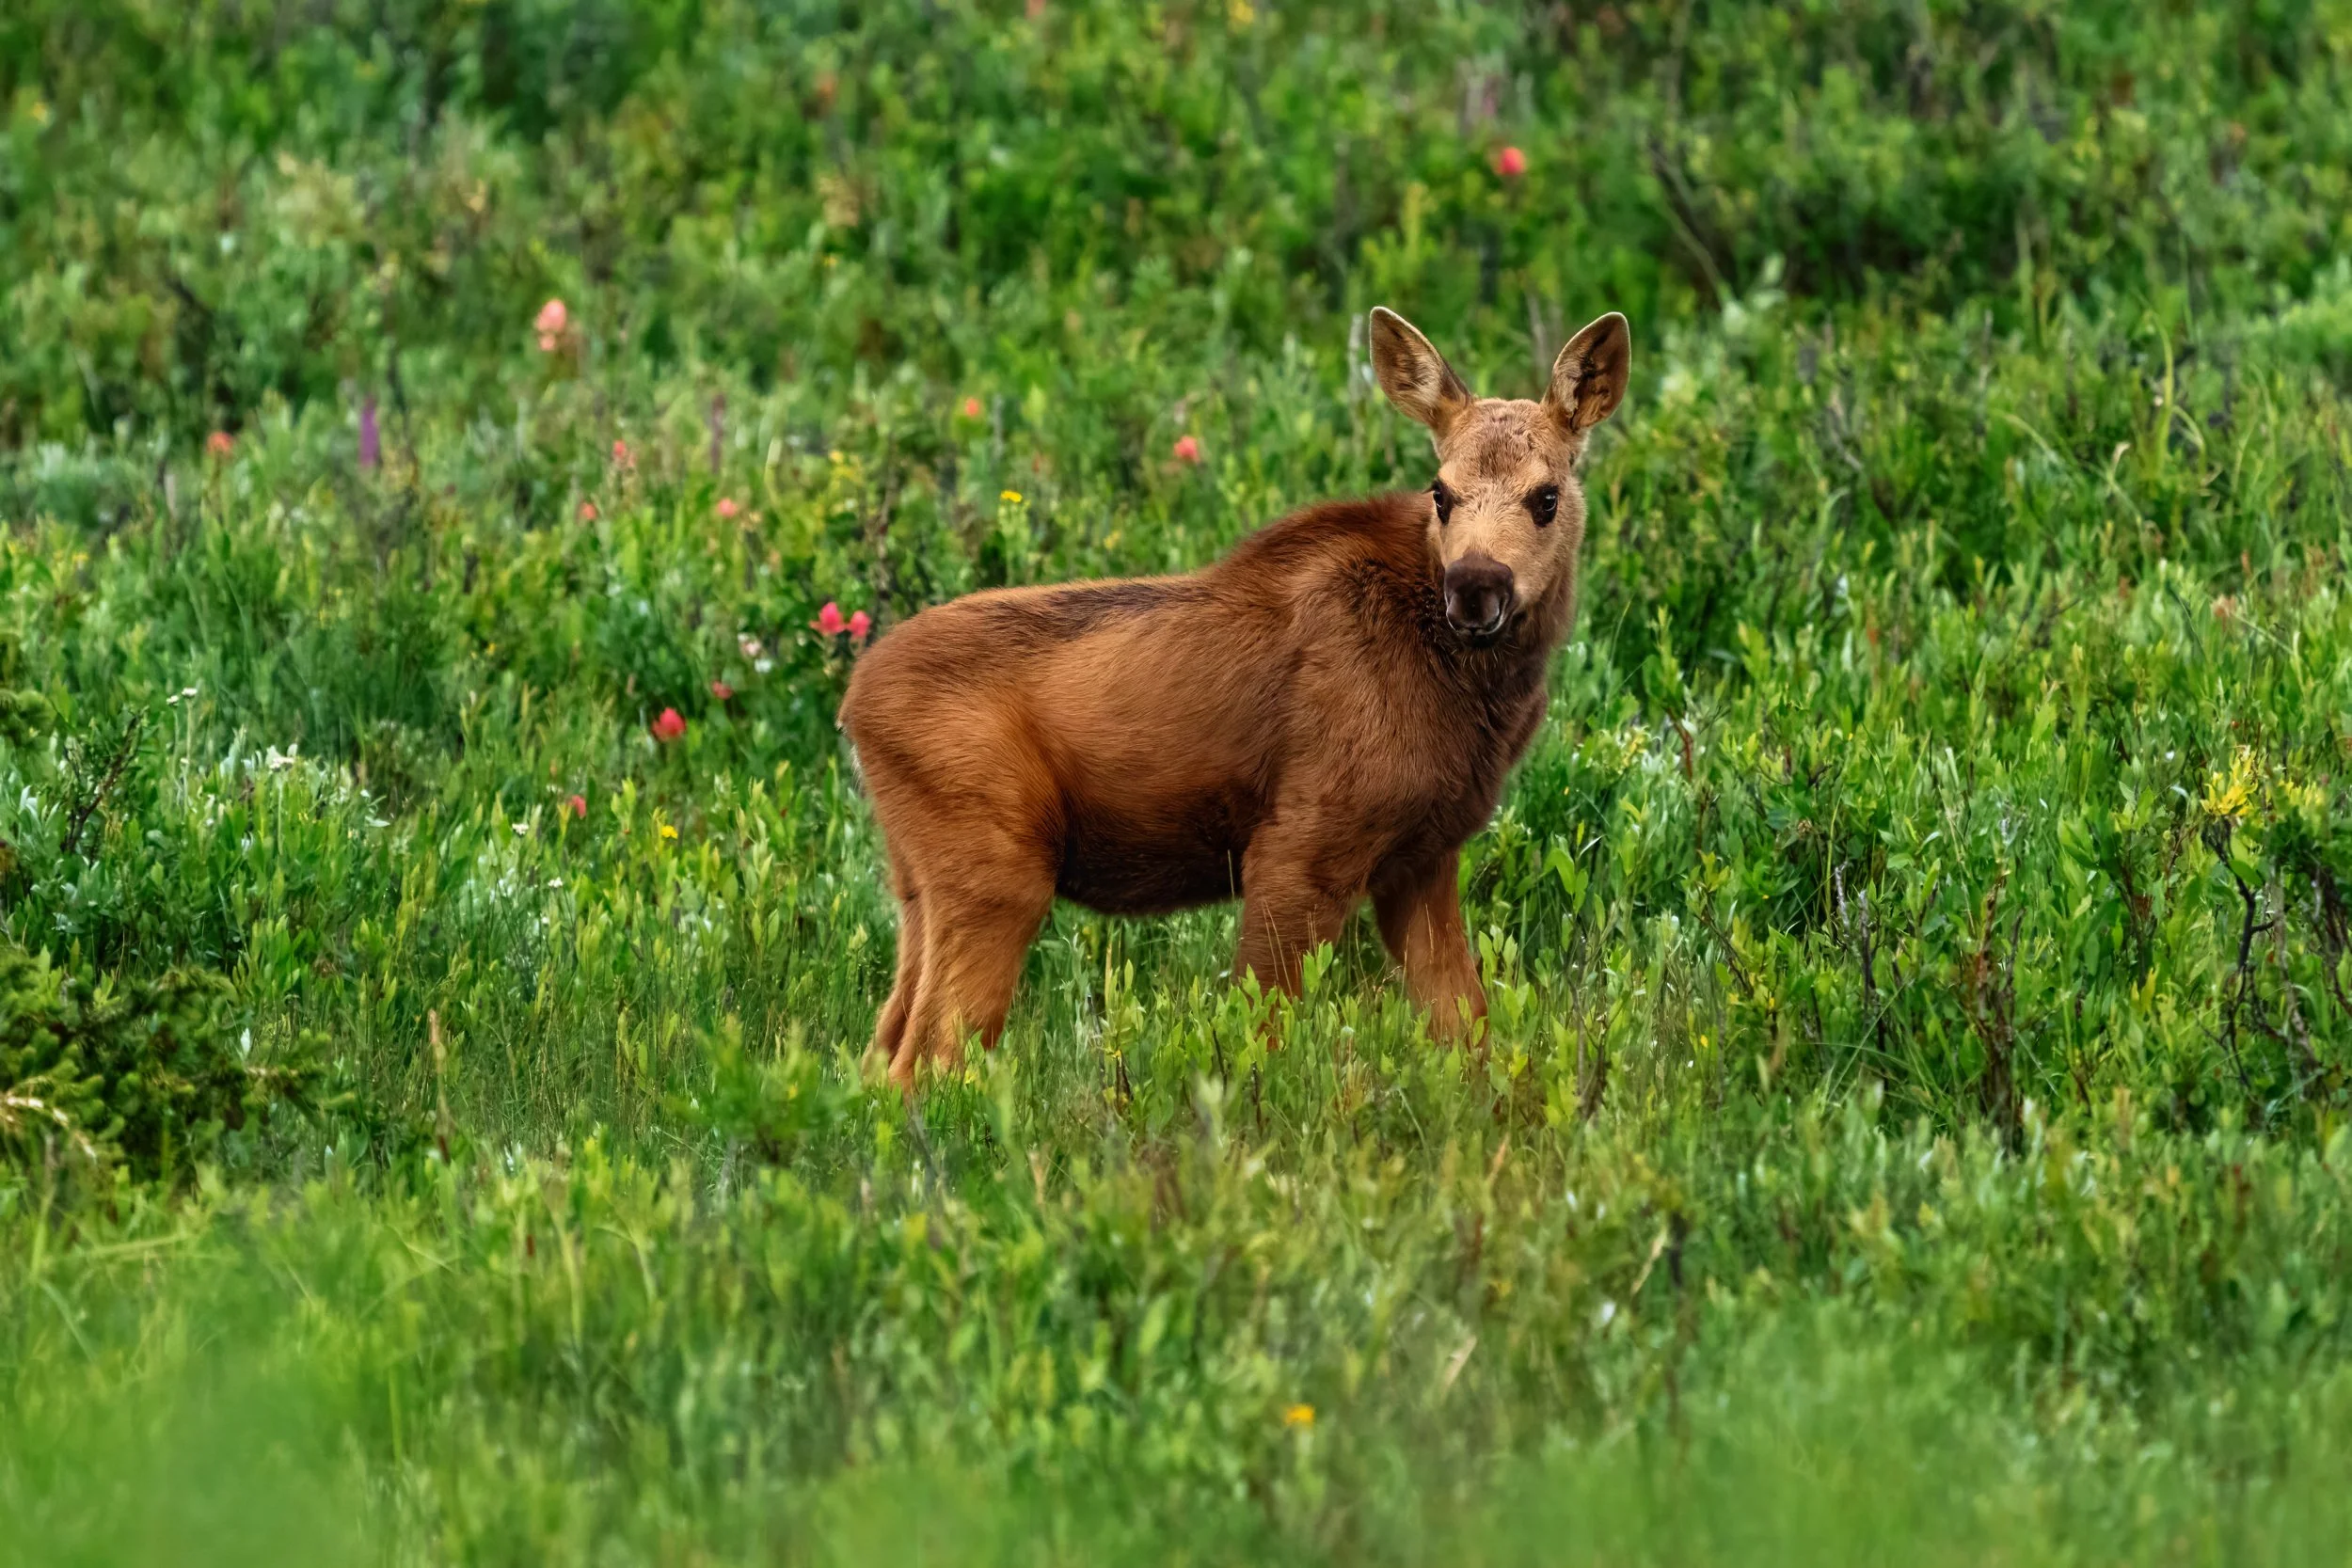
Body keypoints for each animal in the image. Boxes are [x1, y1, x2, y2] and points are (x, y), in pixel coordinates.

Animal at [841, 305, 1630, 1087]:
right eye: (1441, 491)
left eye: (1546, 496)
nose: (1473, 587)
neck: (1477, 698)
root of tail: (853, 705)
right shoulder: (1301, 846)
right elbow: (1262, 1037)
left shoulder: (1424, 857)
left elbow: (1467, 1031)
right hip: (998, 872)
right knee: (925, 1061)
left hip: (918, 884)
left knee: (881, 1050)